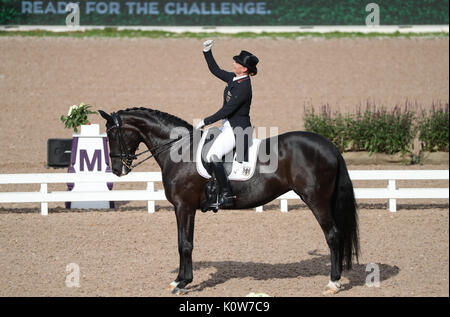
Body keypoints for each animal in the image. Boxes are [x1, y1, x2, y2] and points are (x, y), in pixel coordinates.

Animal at [98, 107, 358, 294]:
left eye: (111, 134)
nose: (118, 170)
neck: (179, 150)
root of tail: (329, 145)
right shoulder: (183, 208)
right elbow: (183, 243)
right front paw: (179, 280)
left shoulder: (184, 207)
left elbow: (185, 244)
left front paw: (183, 283)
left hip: (317, 200)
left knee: (333, 235)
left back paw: (333, 283)